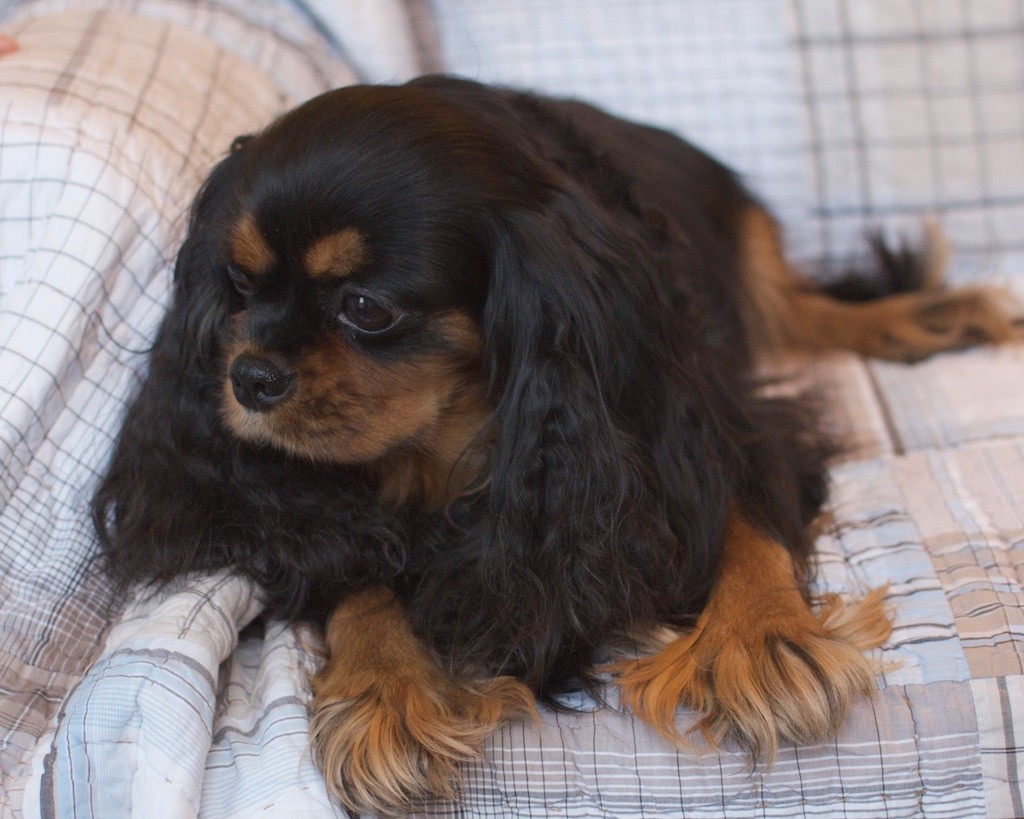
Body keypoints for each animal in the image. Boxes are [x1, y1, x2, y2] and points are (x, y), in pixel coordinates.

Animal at [92, 75, 1019, 810]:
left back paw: (927, 316)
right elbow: (353, 569)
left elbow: (737, 512)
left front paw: (757, 639)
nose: (248, 376)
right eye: (238, 287)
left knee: (808, 307)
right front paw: (384, 690)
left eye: (365, 308)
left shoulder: (691, 417)